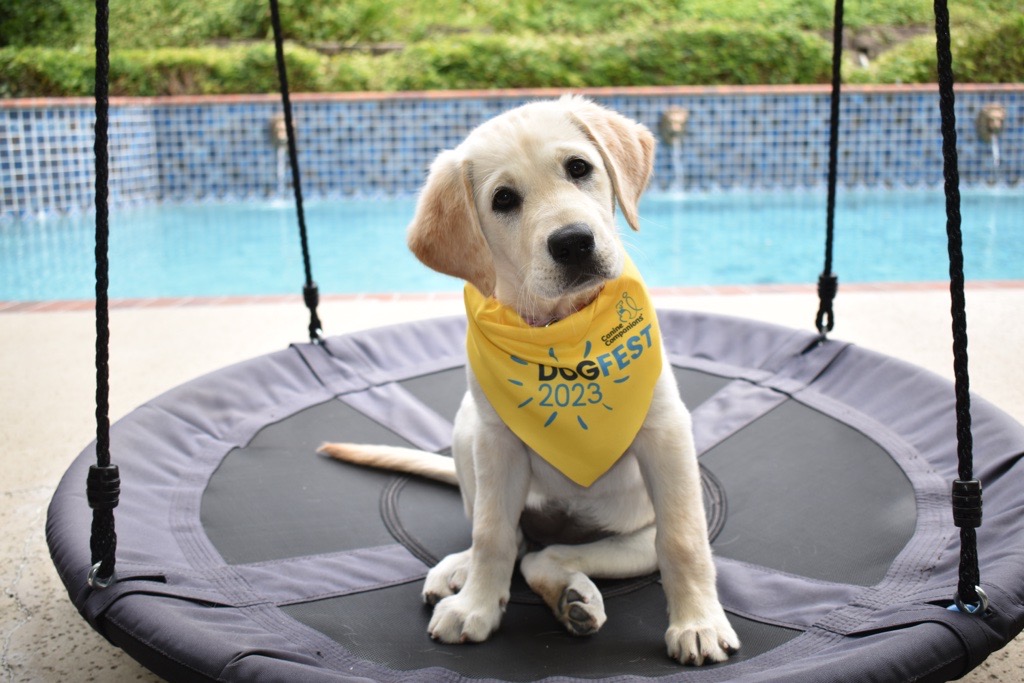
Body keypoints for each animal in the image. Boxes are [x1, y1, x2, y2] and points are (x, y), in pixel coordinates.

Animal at [319, 93, 737, 663]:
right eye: (503, 200)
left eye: (579, 168)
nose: (574, 243)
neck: (562, 335)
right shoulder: (498, 444)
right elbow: (492, 534)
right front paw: (476, 606)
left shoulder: (666, 433)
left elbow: (683, 538)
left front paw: (698, 622)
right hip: (467, 429)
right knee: (514, 543)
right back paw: (471, 573)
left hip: (634, 536)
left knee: (550, 555)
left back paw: (572, 598)